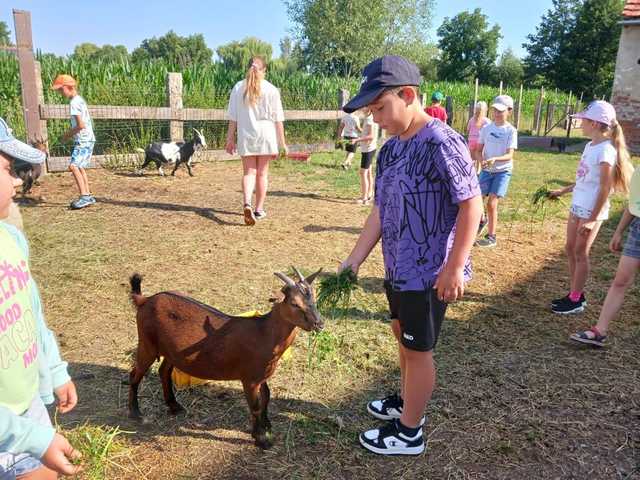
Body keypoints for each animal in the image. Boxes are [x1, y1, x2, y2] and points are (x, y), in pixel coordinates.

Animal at [127, 268, 322, 448]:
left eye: (315, 299)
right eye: (294, 303)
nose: (319, 323)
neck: (264, 332)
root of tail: (145, 300)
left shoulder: (262, 374)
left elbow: (266, 396)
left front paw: (266, 426)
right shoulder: (249, 378)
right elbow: (255, 405)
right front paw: (261, 439)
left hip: (171, 352)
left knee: (163, 371)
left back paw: (174, 406)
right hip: (147, 344)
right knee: (135, 373)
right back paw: (136, 413)